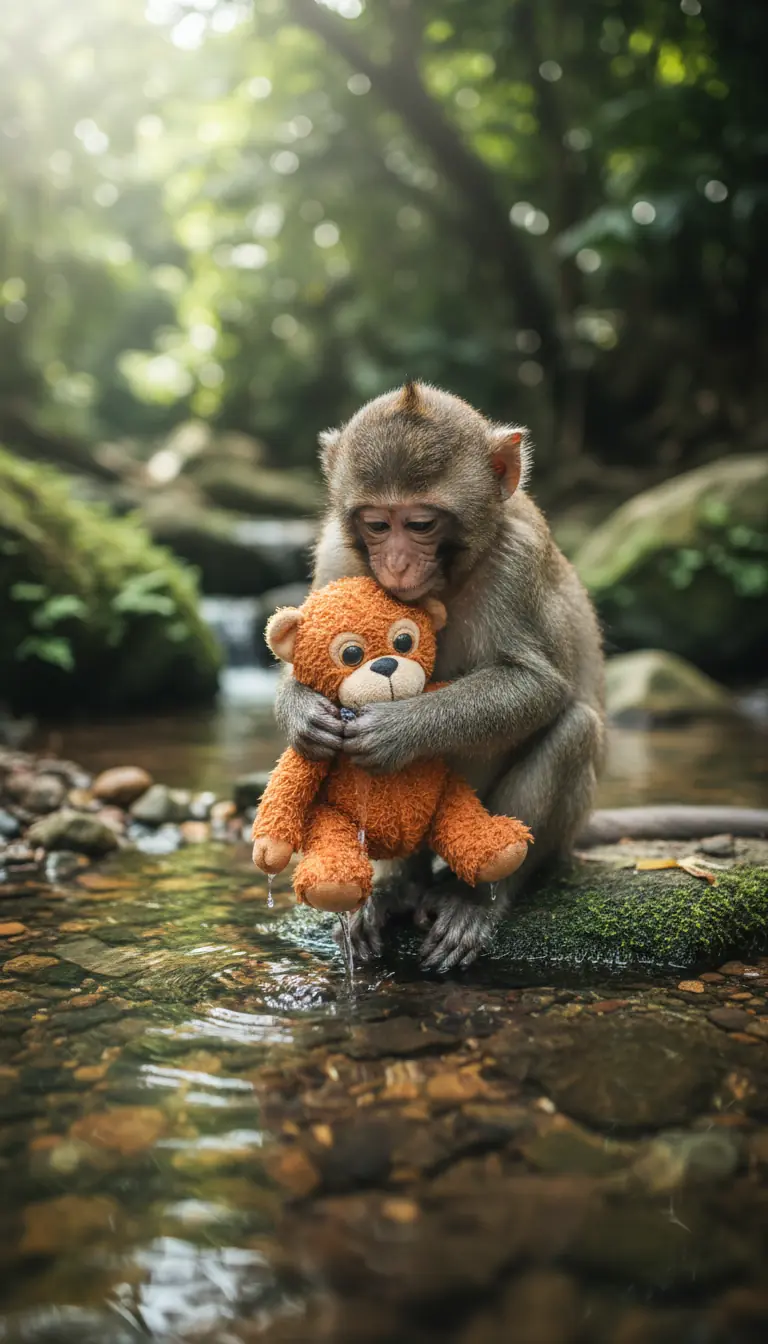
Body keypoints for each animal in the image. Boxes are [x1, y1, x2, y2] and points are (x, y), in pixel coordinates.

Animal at [274, 380, 606, 971]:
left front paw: (396, 729)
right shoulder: (337, 551)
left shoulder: (518, 558)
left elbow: (539, 685)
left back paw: (481, 897)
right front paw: (304, 714)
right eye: (377, 524)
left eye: (421, 524)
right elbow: (301, 654)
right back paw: (390, 890)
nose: (397, 564)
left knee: (575, 729)